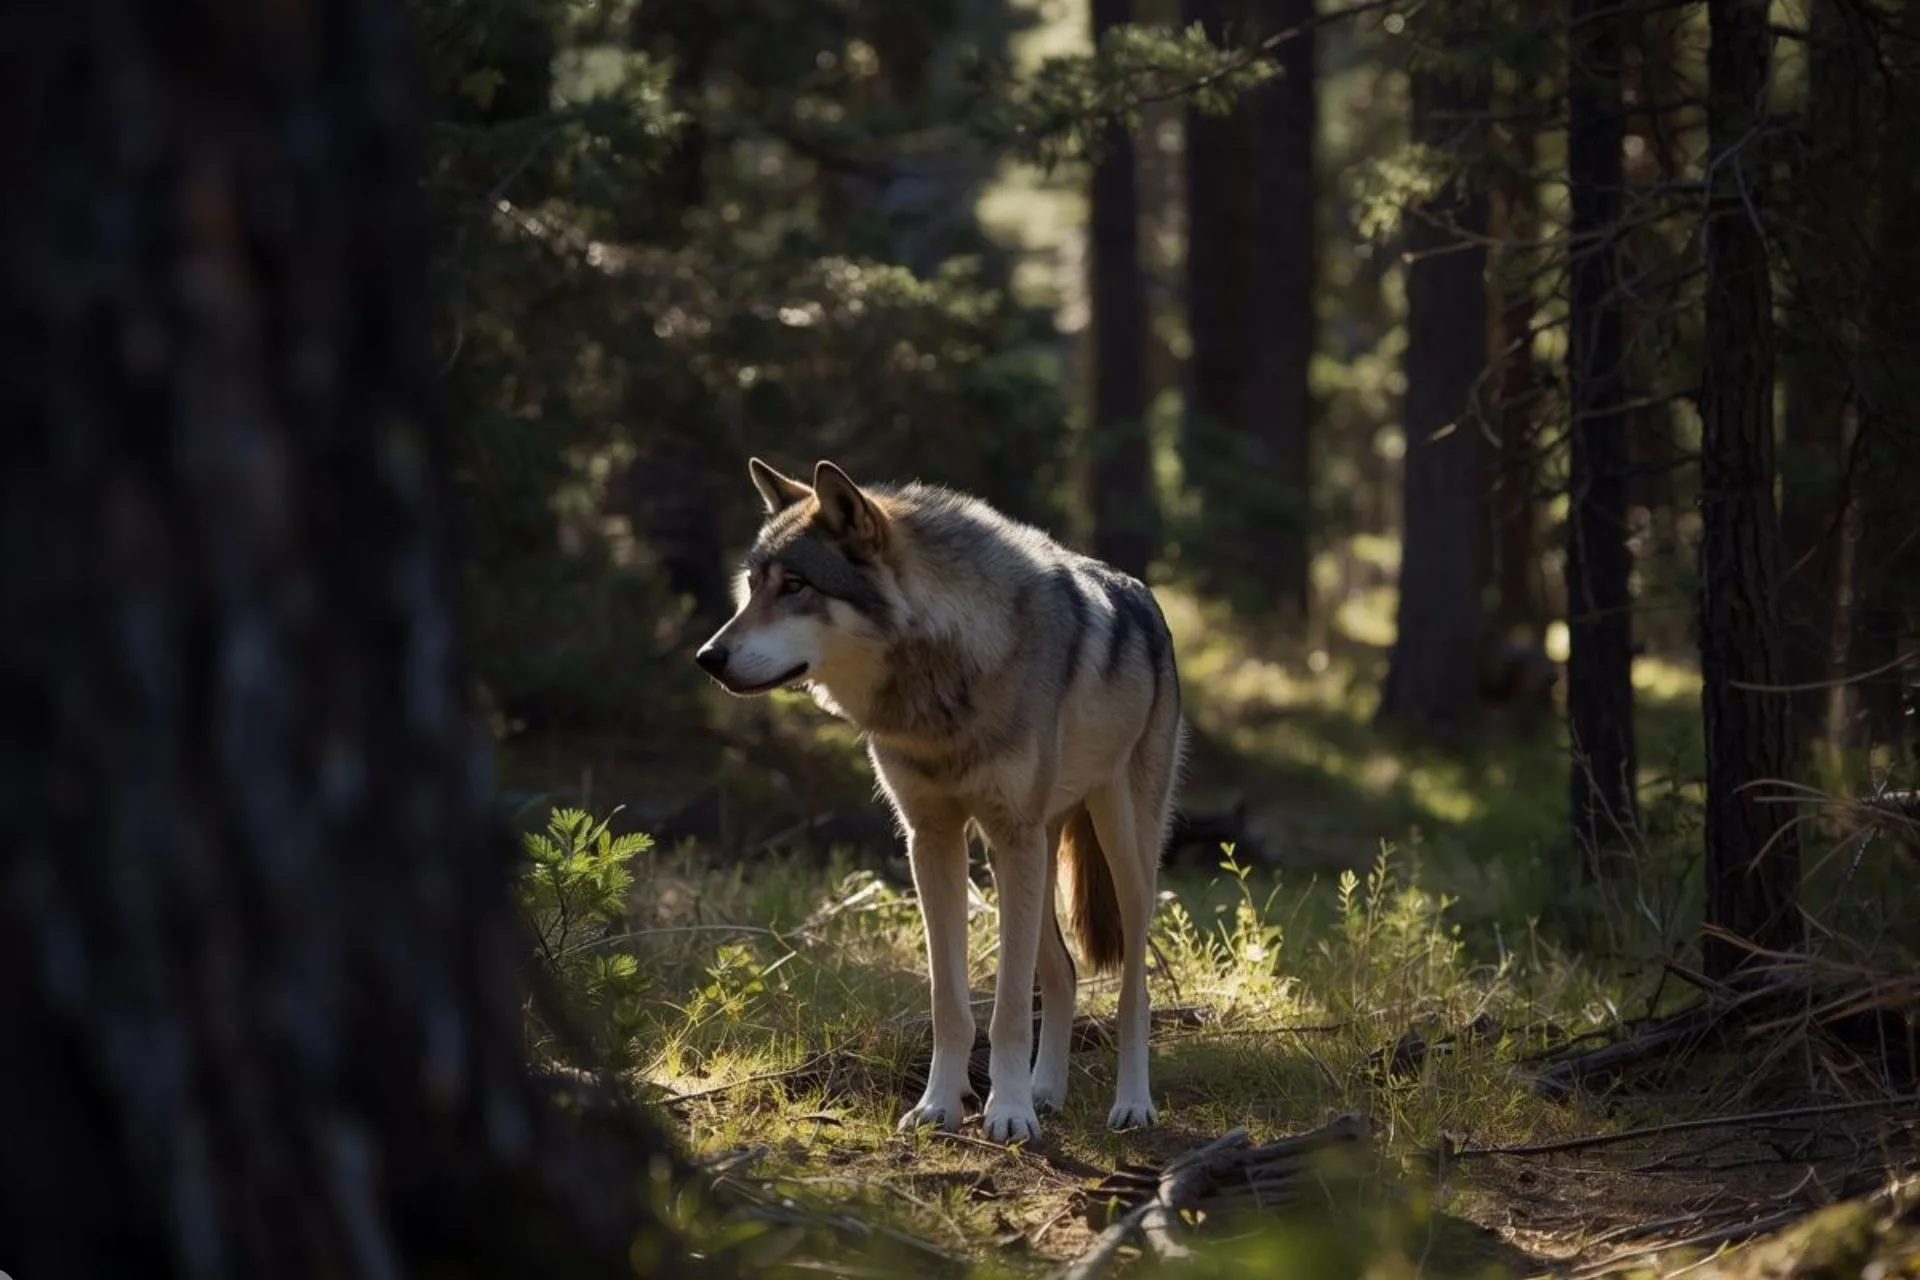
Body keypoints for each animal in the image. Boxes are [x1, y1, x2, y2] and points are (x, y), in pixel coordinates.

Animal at [695, 458, 1187, 1143]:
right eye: (751, 586)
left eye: (795, 586)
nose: (707, 657)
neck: (942, 680)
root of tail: (1147, 599)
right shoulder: (931, 839)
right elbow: (950, 1002)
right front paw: (940, 1107)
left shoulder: (1009, 834)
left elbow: (1008, 1009)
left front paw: (1007, 1114)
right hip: (1030, 857)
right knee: (1061, 973)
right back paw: (1047, 1091)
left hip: (1117, 849)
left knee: (1133, 990)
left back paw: (1132, 1105)